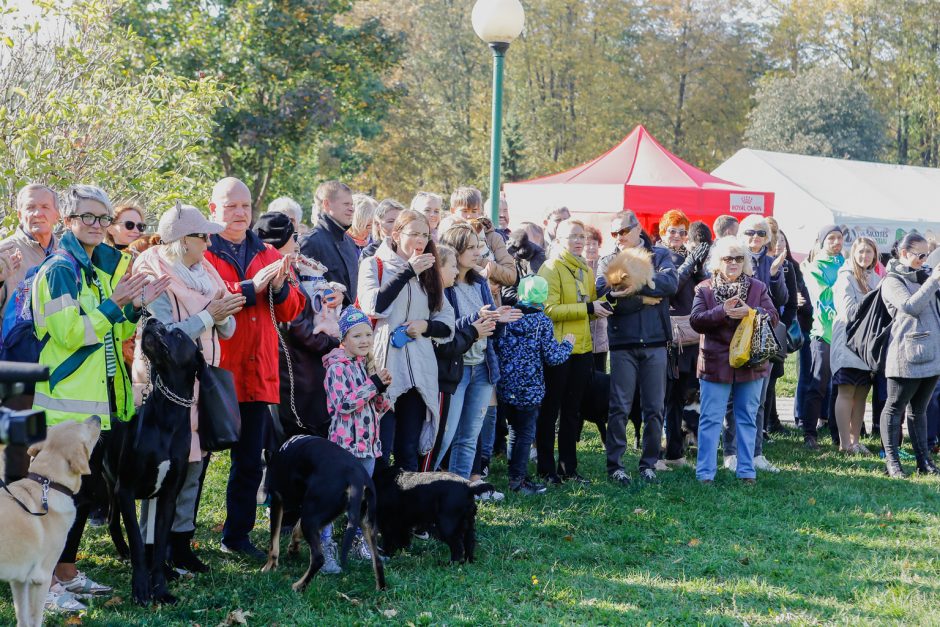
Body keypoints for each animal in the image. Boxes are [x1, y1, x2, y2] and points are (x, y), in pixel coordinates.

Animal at [0, 414, 101, 624]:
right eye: (81, 425)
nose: (97, 416)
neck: (49, 484)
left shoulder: (19, 580)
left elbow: (23, 618)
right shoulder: (42, 578)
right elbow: (35, 619)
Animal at [102, 322, 199, 604]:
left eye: (177, 333)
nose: (154, 321)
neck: (168, 416)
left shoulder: (167, 496)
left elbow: (158, 546)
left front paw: (162, 590)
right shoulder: (127, 490)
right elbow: (138, 541)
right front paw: (141, 589)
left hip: (110, 485)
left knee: (112, 521)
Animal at [260, 436, 386, 592]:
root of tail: (356, 477)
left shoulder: (278, 499)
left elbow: (273, 543)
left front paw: (268, 568)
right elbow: (296, 528)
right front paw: (293, 549)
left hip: (310, 519)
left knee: (318, 558)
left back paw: (299, 586)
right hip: (365, 523)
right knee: (378, 560)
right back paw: (381, 589)